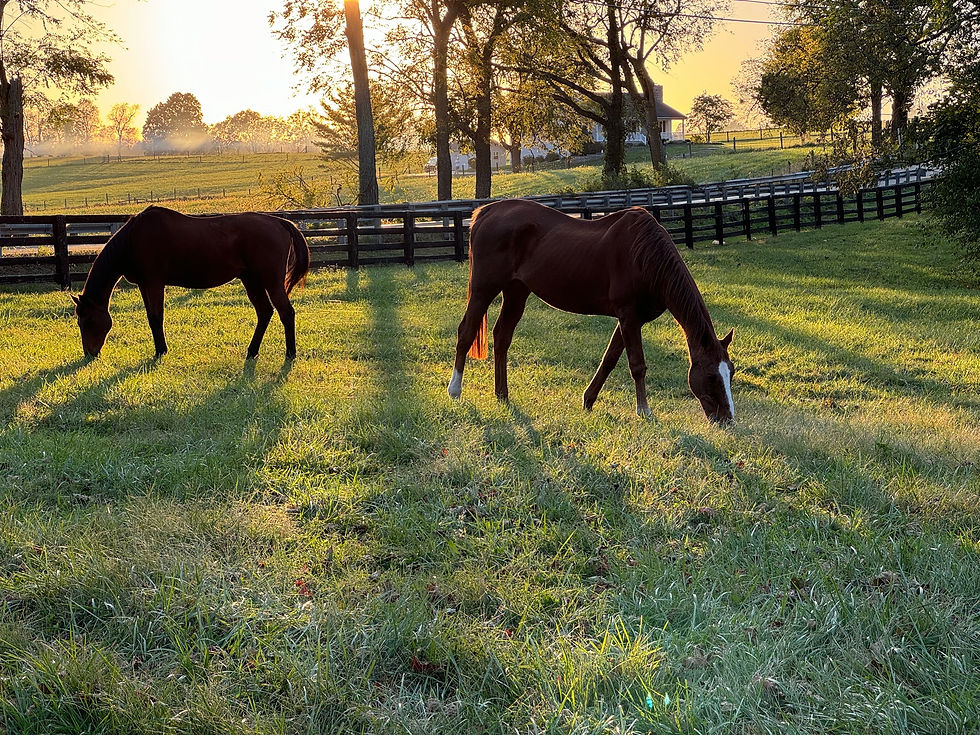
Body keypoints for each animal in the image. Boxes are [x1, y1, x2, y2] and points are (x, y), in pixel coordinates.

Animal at [72, 206, 310, 360]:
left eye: (87, 321)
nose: (90, 354)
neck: (132, 239)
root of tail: (279, 222)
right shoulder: (143, 285)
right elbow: (151, 318)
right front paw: (159, 349)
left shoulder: (154, 283)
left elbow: (157, 317)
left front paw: (161, 351)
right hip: (251, 280)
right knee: (265, 312)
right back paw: (252, 351)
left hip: (271, 281)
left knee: (286, 313)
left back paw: (290, 354)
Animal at [447, 199, 736, 423]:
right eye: (712, 376)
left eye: (730, 372)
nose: (726, 420)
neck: (644, 255)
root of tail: (486, 212)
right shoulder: (629, 317)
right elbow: (637, 365)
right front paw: (644, 411)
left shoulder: (631, 320)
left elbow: (609, 360)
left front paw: (588, 400)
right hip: (484, 288)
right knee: (466, 332)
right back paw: (455, 390)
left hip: (516, 292)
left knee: (502, 337)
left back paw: (502, 395)